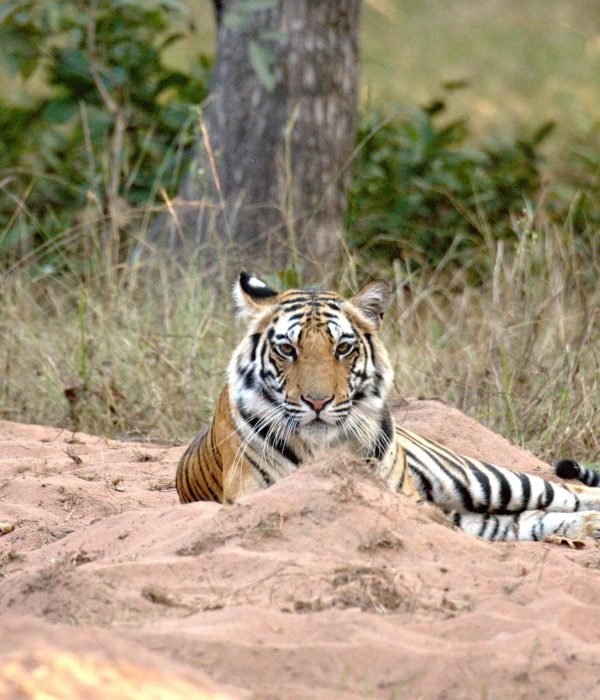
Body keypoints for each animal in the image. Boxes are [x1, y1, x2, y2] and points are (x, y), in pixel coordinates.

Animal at [176, 271, 600, 542]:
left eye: (342, 347)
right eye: (287, 349)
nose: (317, 401)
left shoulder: (407, 498)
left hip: (480, 478)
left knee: (565, 491)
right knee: (525, 519)